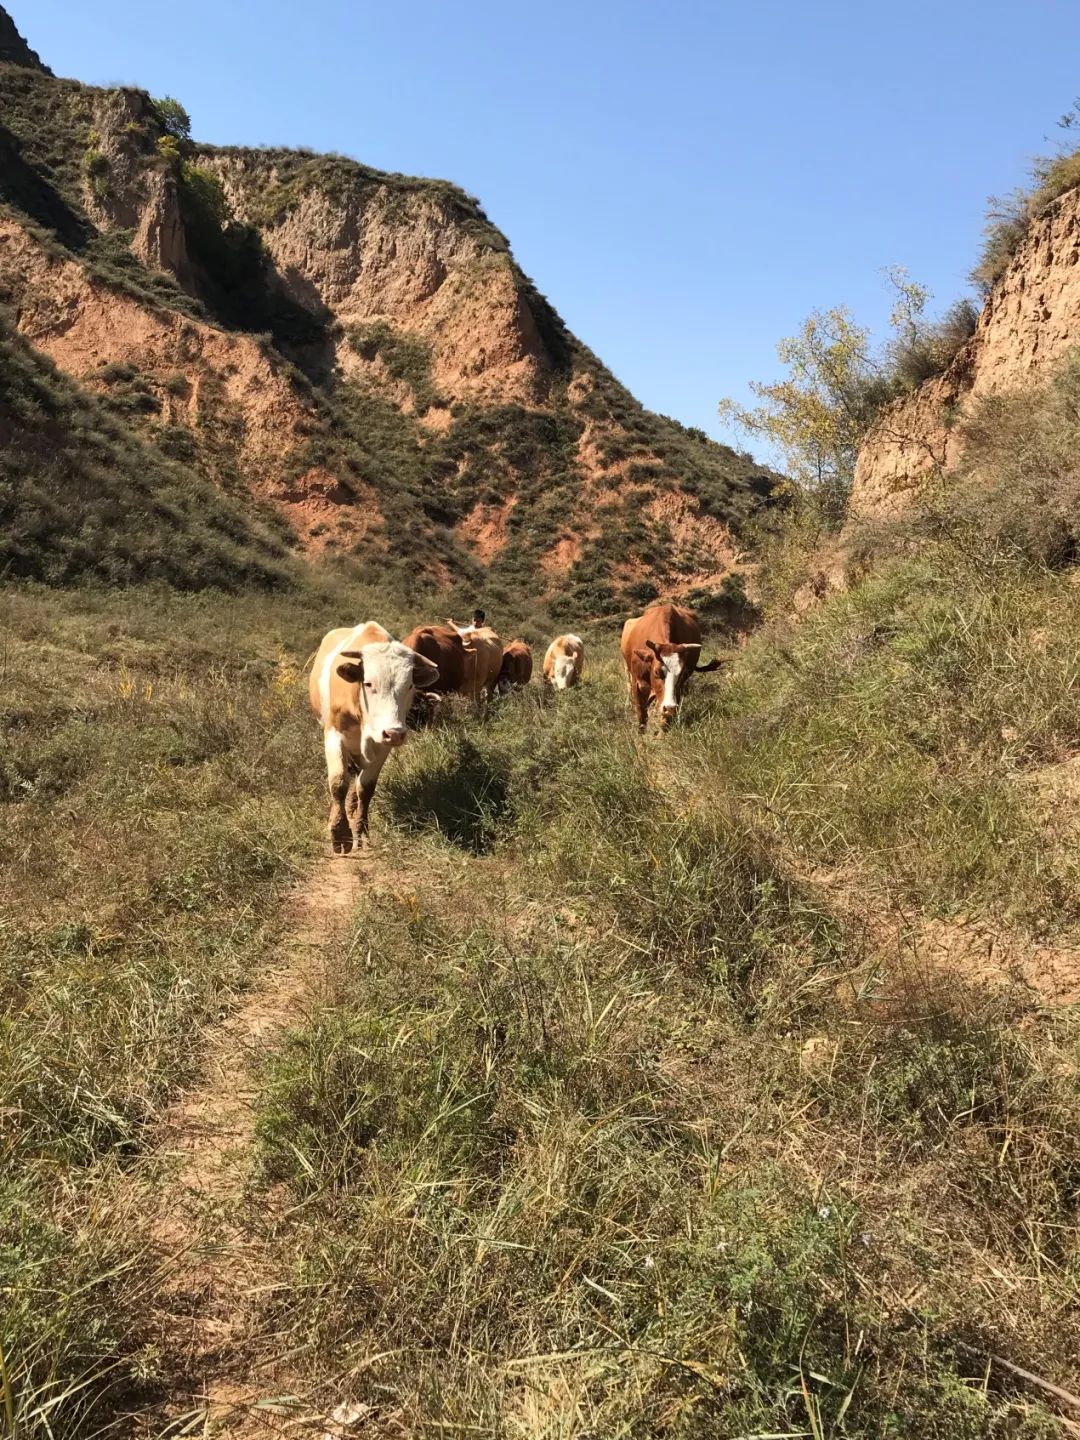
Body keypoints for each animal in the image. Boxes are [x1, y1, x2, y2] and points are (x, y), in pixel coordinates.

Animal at [308, 622, 440, 846]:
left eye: (410, 685)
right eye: (368, 683)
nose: (395, 733)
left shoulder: (382, 744)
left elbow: (366, 787)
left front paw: (360, 828)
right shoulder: (334, 734)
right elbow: (338, 782)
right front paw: (339, 832)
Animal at [622, 601, 722, 731]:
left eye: (682, 673)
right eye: (656, 672)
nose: (669, 707)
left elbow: (665, 718)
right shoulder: (638, 684)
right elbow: (641, 715)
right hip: (626, 668)